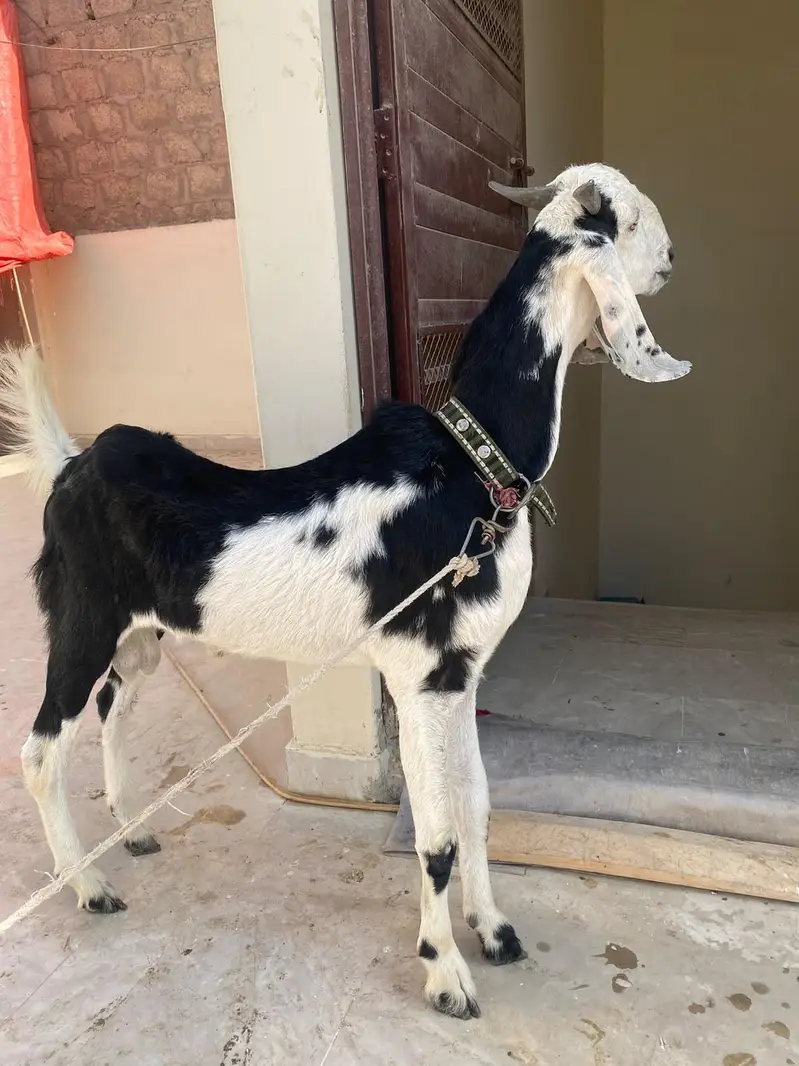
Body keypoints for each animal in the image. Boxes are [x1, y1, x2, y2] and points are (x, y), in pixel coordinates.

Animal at [0, 163, 690, 1019]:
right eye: (629, 220)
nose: (674, 260)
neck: (473, 463)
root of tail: (70, 465)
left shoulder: (461, 676)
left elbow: (477, 807)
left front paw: (493, 932)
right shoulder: (420, 676)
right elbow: (436, 835)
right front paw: (444, 972)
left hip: (142, 638)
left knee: (111, 709)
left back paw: (131, 830)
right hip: (83, 618)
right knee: (40, 748)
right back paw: (88, 883)